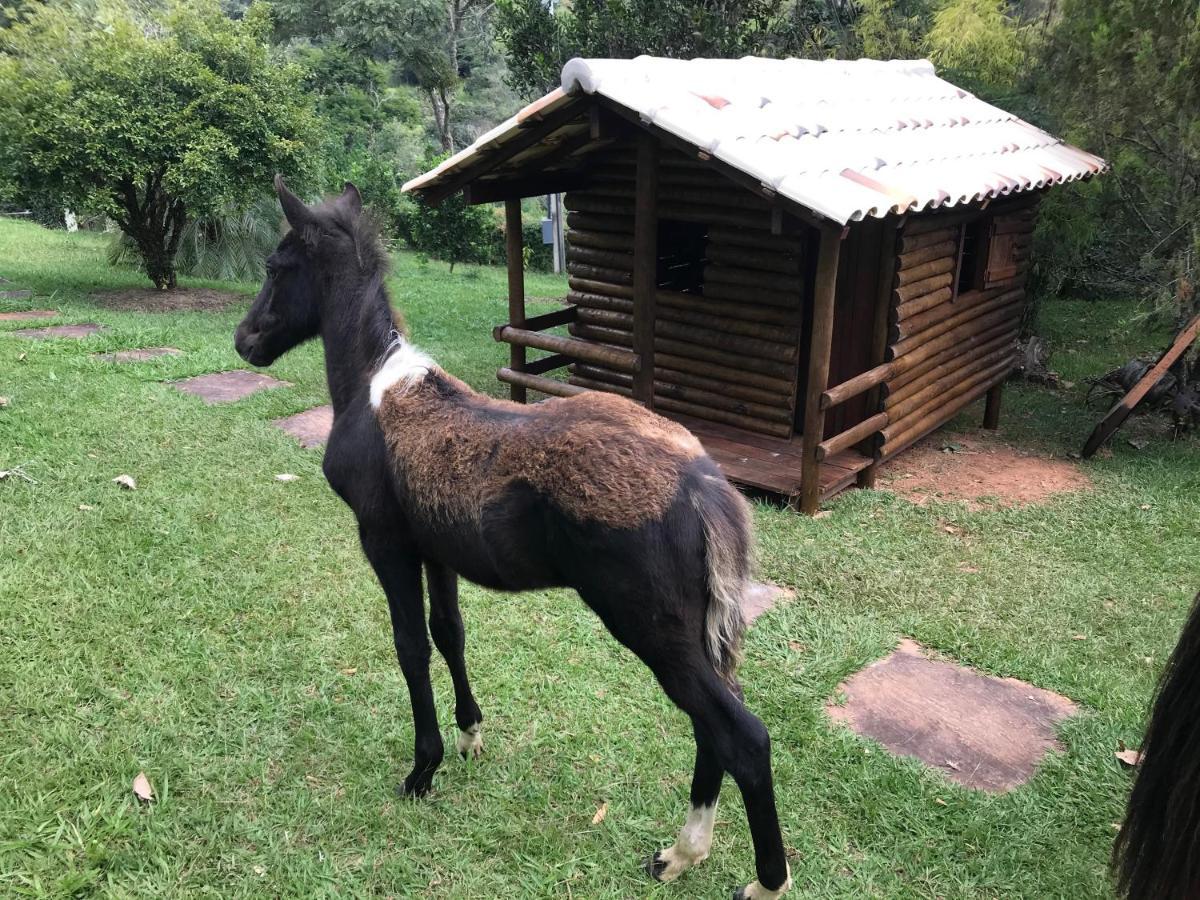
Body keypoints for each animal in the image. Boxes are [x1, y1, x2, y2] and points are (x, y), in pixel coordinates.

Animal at [234, 177, 792, 900]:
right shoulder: (435, 549)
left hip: (651, 627)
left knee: (741, 735)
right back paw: (678, 854)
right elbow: (450, 632)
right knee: (713, 726)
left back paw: (760, 879)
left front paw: (422, 770)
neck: (374, 387)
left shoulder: (383, 541)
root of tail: (704, 486)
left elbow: (410, 646)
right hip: (695, 634)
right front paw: (470, 735)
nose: (244, 340)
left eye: (276, 267)